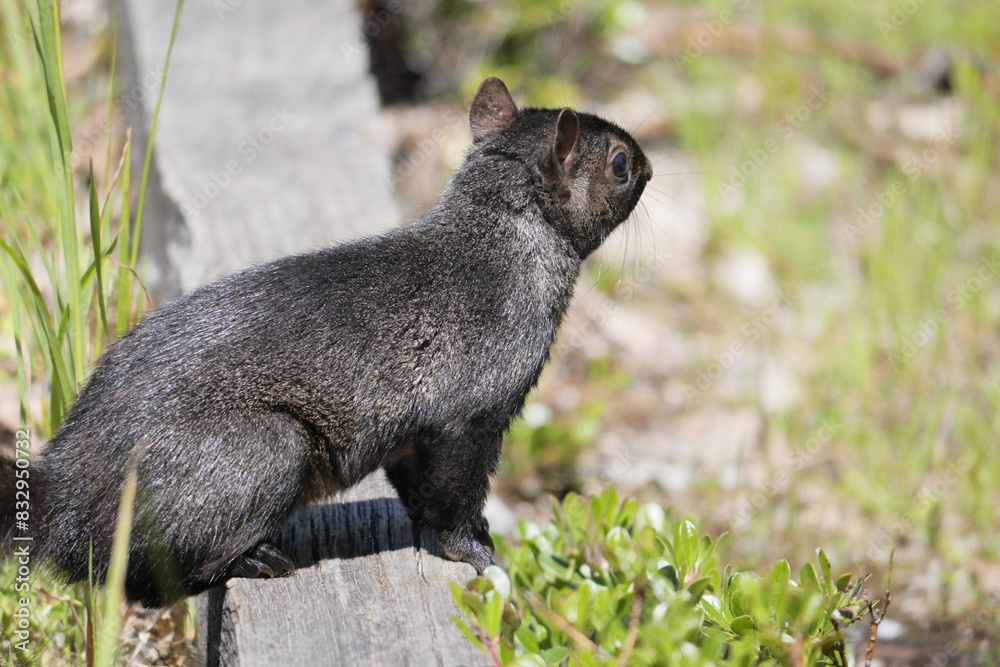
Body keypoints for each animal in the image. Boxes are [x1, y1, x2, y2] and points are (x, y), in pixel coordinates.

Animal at [1, 78, 652, 607]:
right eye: (619, 163)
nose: (649, 165)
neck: (504, 242)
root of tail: (67, 492)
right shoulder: (469, 412)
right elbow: (455, 496)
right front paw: (477, 554)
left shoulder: (417, 429)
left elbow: (418, 485)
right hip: (262, 451)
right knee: (155, 575)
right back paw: (254, 559)